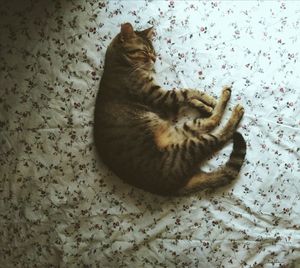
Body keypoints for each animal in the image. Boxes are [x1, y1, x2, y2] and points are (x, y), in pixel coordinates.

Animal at [94, 22, 246, 195]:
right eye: (144, 51)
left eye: (153, 51)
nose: (154, 58)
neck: (118, 63)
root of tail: (173, 188)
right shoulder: (160, 96)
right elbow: (188, 91)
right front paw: (209, 100)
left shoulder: (166, 101)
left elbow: (189, 98)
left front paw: (205, 106)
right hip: (187, 147)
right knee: (220, 132)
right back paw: (232, 108)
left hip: (182, 130)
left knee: (209, 122)